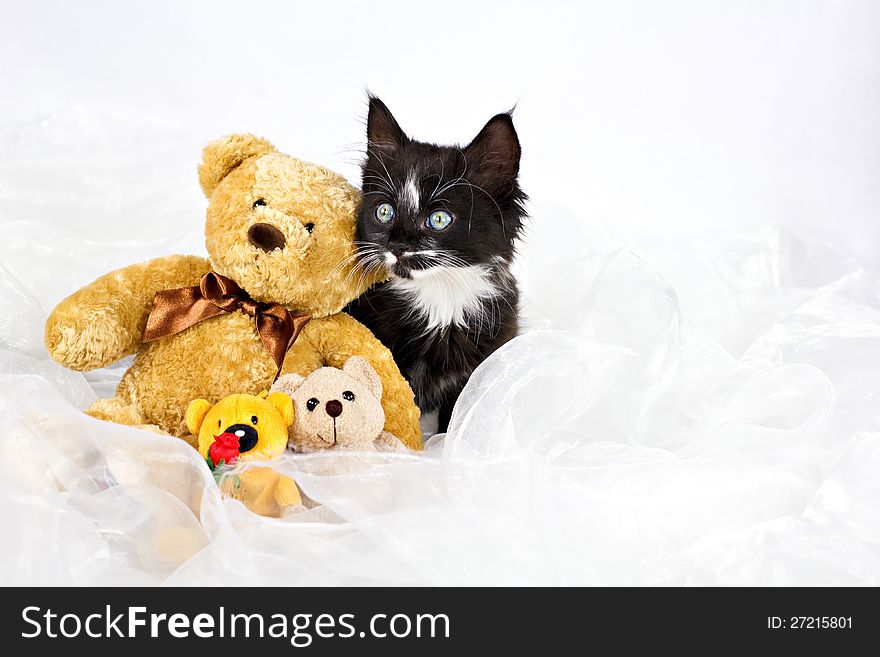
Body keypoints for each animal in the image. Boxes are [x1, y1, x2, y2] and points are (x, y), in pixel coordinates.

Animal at [346, 95, 524, 434]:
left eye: (439, 219)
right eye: (385, 212)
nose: (397, 246)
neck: (440, 302)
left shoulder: (478, 369)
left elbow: (454, 423)